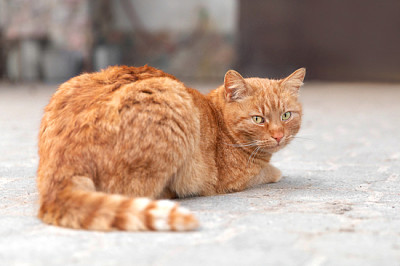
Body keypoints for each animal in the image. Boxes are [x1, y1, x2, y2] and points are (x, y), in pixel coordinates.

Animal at [38, 65, 306, 231]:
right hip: (172, 102)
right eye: (258, 119)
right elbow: (266, 172)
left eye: (286, 115)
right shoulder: (232, 180)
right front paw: (274, 170)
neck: (217, 118)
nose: (278, 136)